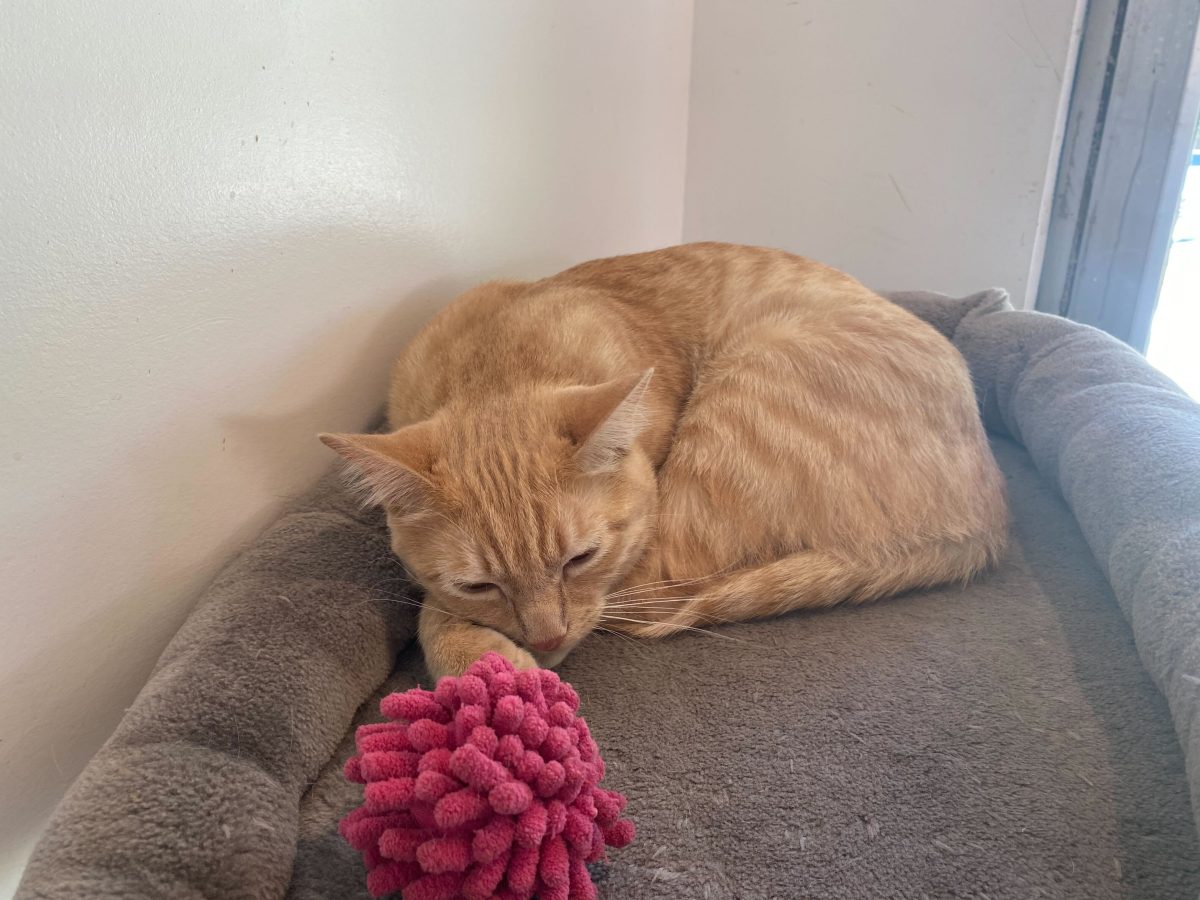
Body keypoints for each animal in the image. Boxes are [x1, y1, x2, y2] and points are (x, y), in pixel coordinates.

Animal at [324, 243, 1008, 681]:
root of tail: (993, 522)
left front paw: (486, 666)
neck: (498, 358)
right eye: (480, 584)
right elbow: (438, 603)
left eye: (581, 559)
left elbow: (431, 612)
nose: (547, 638)